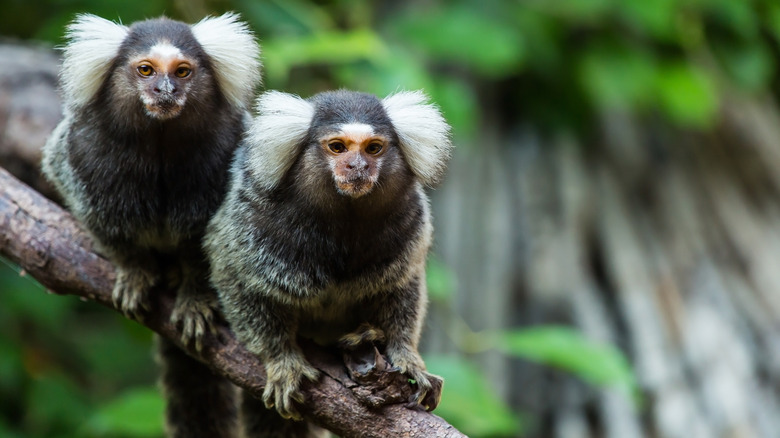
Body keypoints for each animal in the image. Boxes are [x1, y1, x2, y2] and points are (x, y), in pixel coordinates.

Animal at [41, 12, 260, 436]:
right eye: (146, 70)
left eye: (182, 71)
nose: (165, 90)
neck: (160, 142)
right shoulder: (82, 150)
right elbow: (102, 220)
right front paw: (135, 271)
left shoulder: (228, 150)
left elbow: (211, 243)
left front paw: (195, 296)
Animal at [204, 88, 454, 432]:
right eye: (337, 147)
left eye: (373, 148)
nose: (358, 166)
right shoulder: (250, 217)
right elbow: (236, 276)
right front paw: (281, 360)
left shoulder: (410, 225)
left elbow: (403, 286)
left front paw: (406, 356)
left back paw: (367, 335)